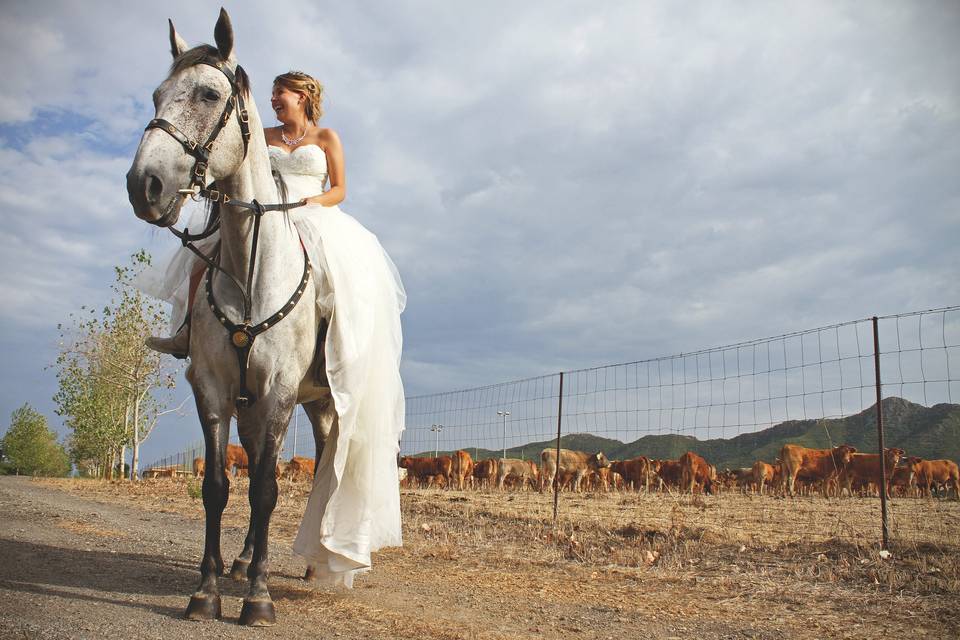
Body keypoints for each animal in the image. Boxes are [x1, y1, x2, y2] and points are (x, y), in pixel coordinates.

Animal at [124, 10, 334, 628]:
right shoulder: (215, 389)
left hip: (318, 404)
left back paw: (315, 563)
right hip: (264, 407)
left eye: (210, 94)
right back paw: (243, 562)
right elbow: (219, 486)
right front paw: (208, 589)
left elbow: (265, 490)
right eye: (157, 94)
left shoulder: (280, 392)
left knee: (320, 466)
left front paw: (259, 598)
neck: (250, 270)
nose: (143, 185)